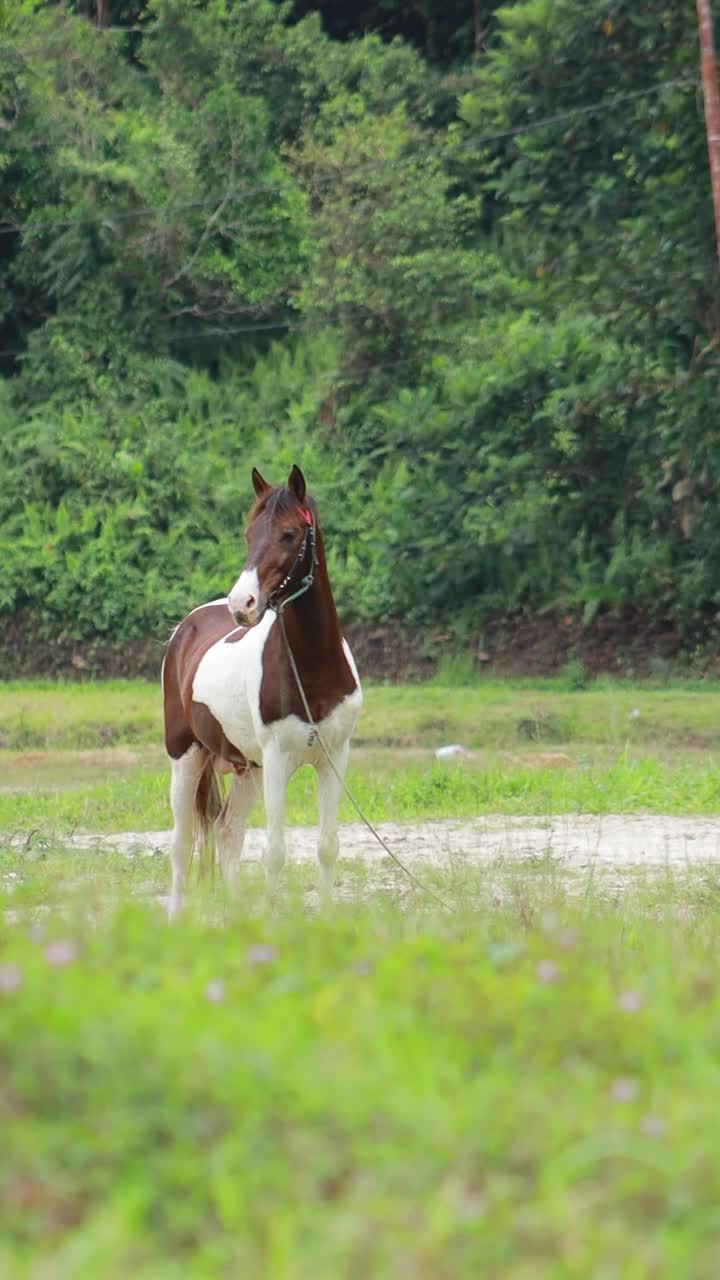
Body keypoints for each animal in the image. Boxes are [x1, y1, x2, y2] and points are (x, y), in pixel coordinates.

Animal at [163, 465, 363, 916]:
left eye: (289, 534)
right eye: (249, 533)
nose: (243, 604)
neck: (312, 671)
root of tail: (186, 628)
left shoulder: (334, 759)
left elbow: (328, 847)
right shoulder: (276, 761)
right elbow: (275, 853)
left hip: (247, 770)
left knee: (227, 834)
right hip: (187, 757)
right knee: (183, 845)